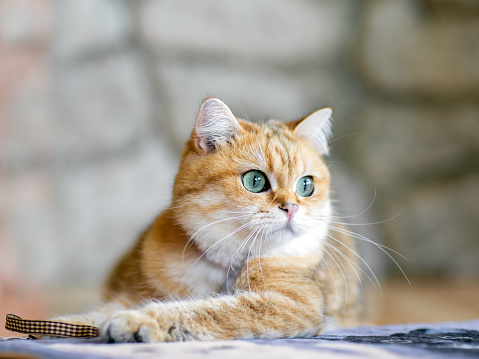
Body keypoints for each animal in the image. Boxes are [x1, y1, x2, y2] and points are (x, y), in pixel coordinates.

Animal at [53, 97, 360, 344]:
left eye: (306, 185)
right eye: (255, 180)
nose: (292, 208)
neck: (227, 263)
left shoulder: (291, 304)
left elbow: (208, 310)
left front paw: (139, 322)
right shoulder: (132, 294)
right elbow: (89, 318)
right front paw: (63, 325)